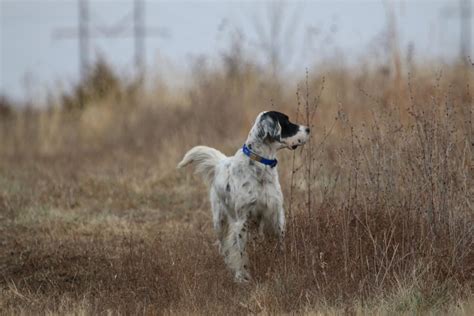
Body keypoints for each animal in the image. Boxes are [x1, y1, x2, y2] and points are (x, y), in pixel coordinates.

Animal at [178, 111, 312, 282]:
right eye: (286, 122)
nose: (308, 129)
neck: (260, 165)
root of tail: (221, 162)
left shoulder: (275, 213)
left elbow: (279, 243)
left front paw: (281, 265)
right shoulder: (242, 221)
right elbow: (242, 255)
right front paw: (243, 278)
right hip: (220, 222)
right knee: (224, 247)